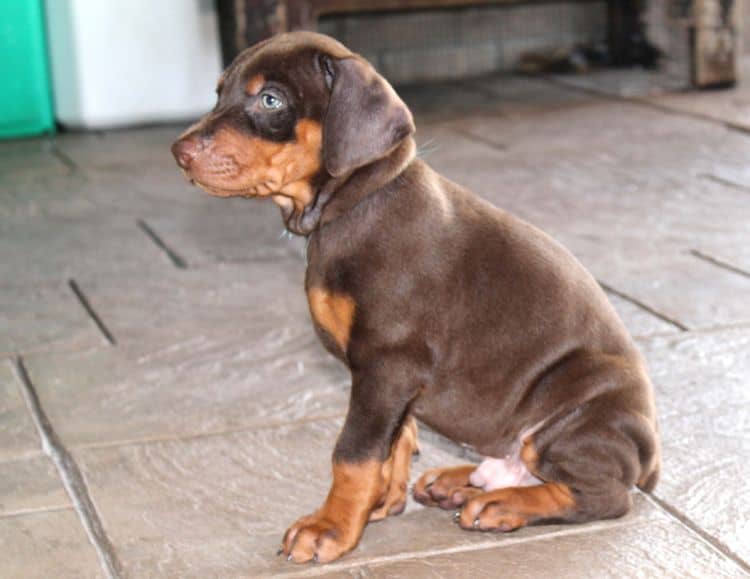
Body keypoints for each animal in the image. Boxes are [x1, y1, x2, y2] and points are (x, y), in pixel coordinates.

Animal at [170, 32, 656, 568]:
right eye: (219, 92)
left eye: (271, 100)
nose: (179, 152)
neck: (358, 205)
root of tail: (650, 460)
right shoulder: (390, 378)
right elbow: (395, 438)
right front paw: (381, 501)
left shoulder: (388, 364)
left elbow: (354, 452)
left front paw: (332, 527)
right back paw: (459, 484)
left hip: (577, 412)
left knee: (603, 495)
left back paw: (504, 504)